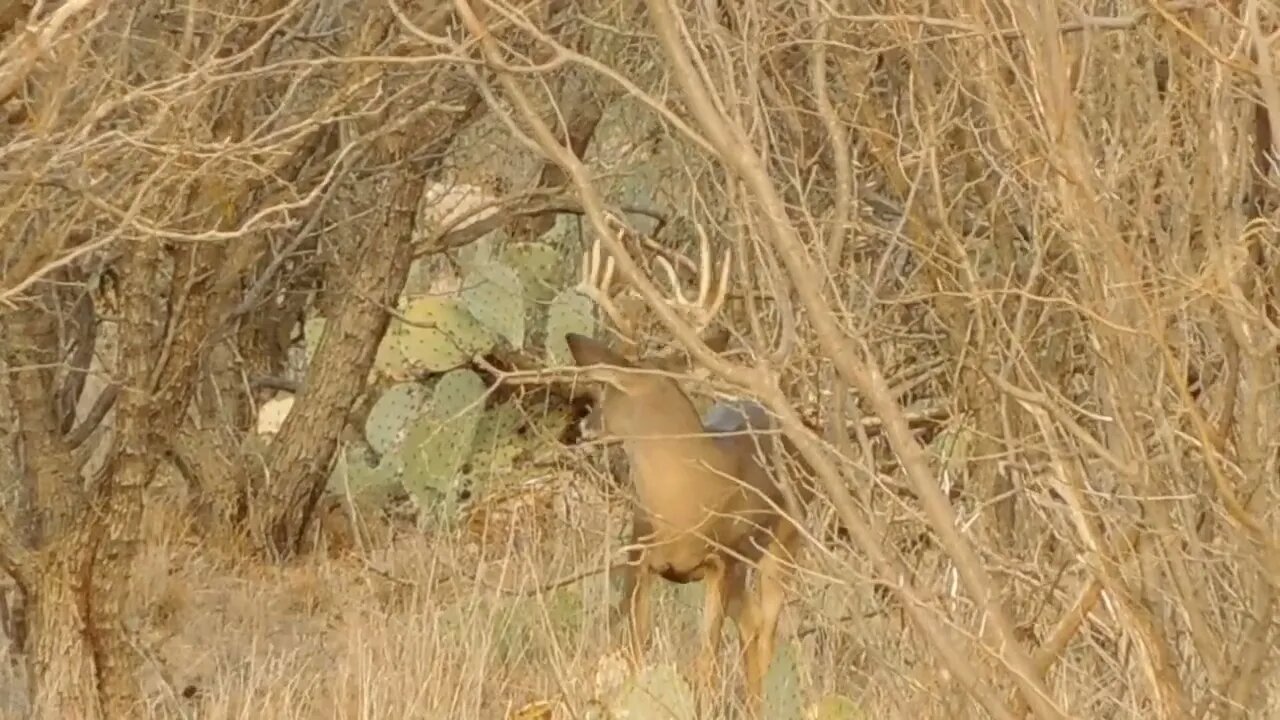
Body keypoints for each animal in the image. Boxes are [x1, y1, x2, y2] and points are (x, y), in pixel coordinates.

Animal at [568, 225, 814, 712]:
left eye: (606, 388)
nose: (585, 426)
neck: (683, 503)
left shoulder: (725, 562)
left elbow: (706, 662)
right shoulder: (638, 556)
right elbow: (636, 650)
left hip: (784, 541)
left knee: (762, 630)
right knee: (755, 627)